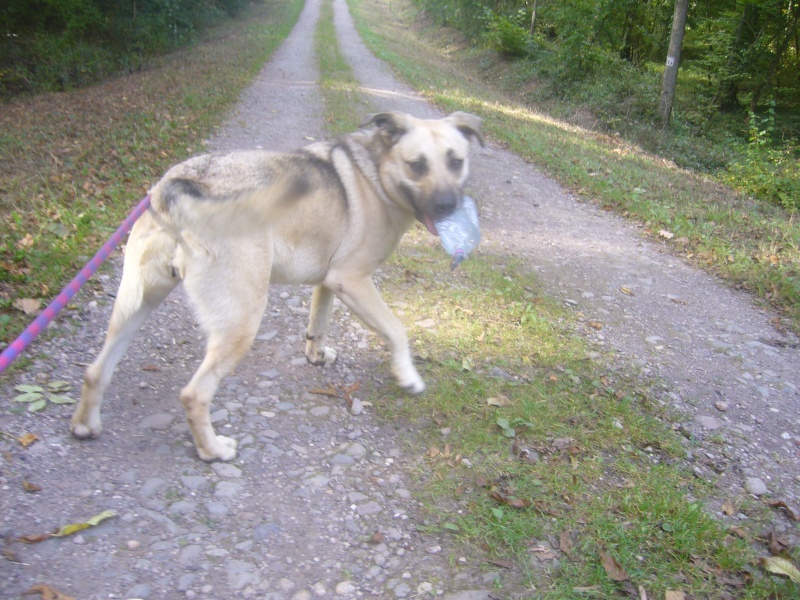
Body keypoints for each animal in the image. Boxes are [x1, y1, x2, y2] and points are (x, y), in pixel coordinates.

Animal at [72, 111, 482, 460]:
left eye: (456, 161)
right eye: (417, 165)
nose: (448, 206)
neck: (376, 172)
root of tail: (175, 187)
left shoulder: (328, 283)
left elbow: (318, 323)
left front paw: (316, 355)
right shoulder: (352, 280)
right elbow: (397, 331)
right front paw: (407, 375)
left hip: (136, 306)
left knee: (95, 370)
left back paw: (85, 425)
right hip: (241, 321)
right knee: (193, 394)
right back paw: (213, 450)